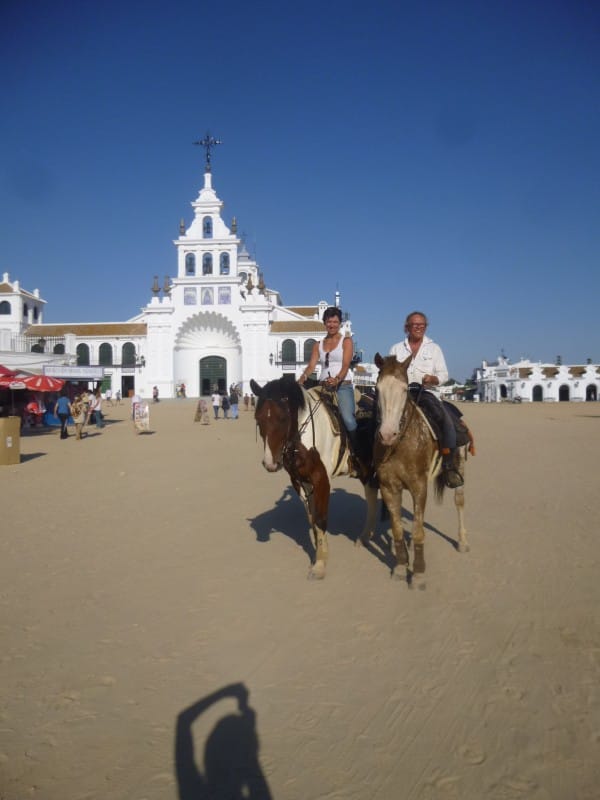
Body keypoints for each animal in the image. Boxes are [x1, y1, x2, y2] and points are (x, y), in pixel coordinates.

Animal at [251, 372, 378, 580]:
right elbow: (312, 519)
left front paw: (319, 565)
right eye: (258, 418)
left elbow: (320, 518)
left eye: (282, 417)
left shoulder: (322, 480)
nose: (270, 463)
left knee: (373, 499)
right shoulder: (299, 481)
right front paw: (320, 553)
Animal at [368, 354, 472, 580]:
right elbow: (397, 528)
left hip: (460, 465)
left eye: (404, 389)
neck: (400, 445)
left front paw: (417, 573)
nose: (387, 434)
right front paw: (400, 565)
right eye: (377, 389)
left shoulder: (419, 486)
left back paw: (462, 541)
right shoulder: (389, 487)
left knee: (459, 501)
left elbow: (418, 532)